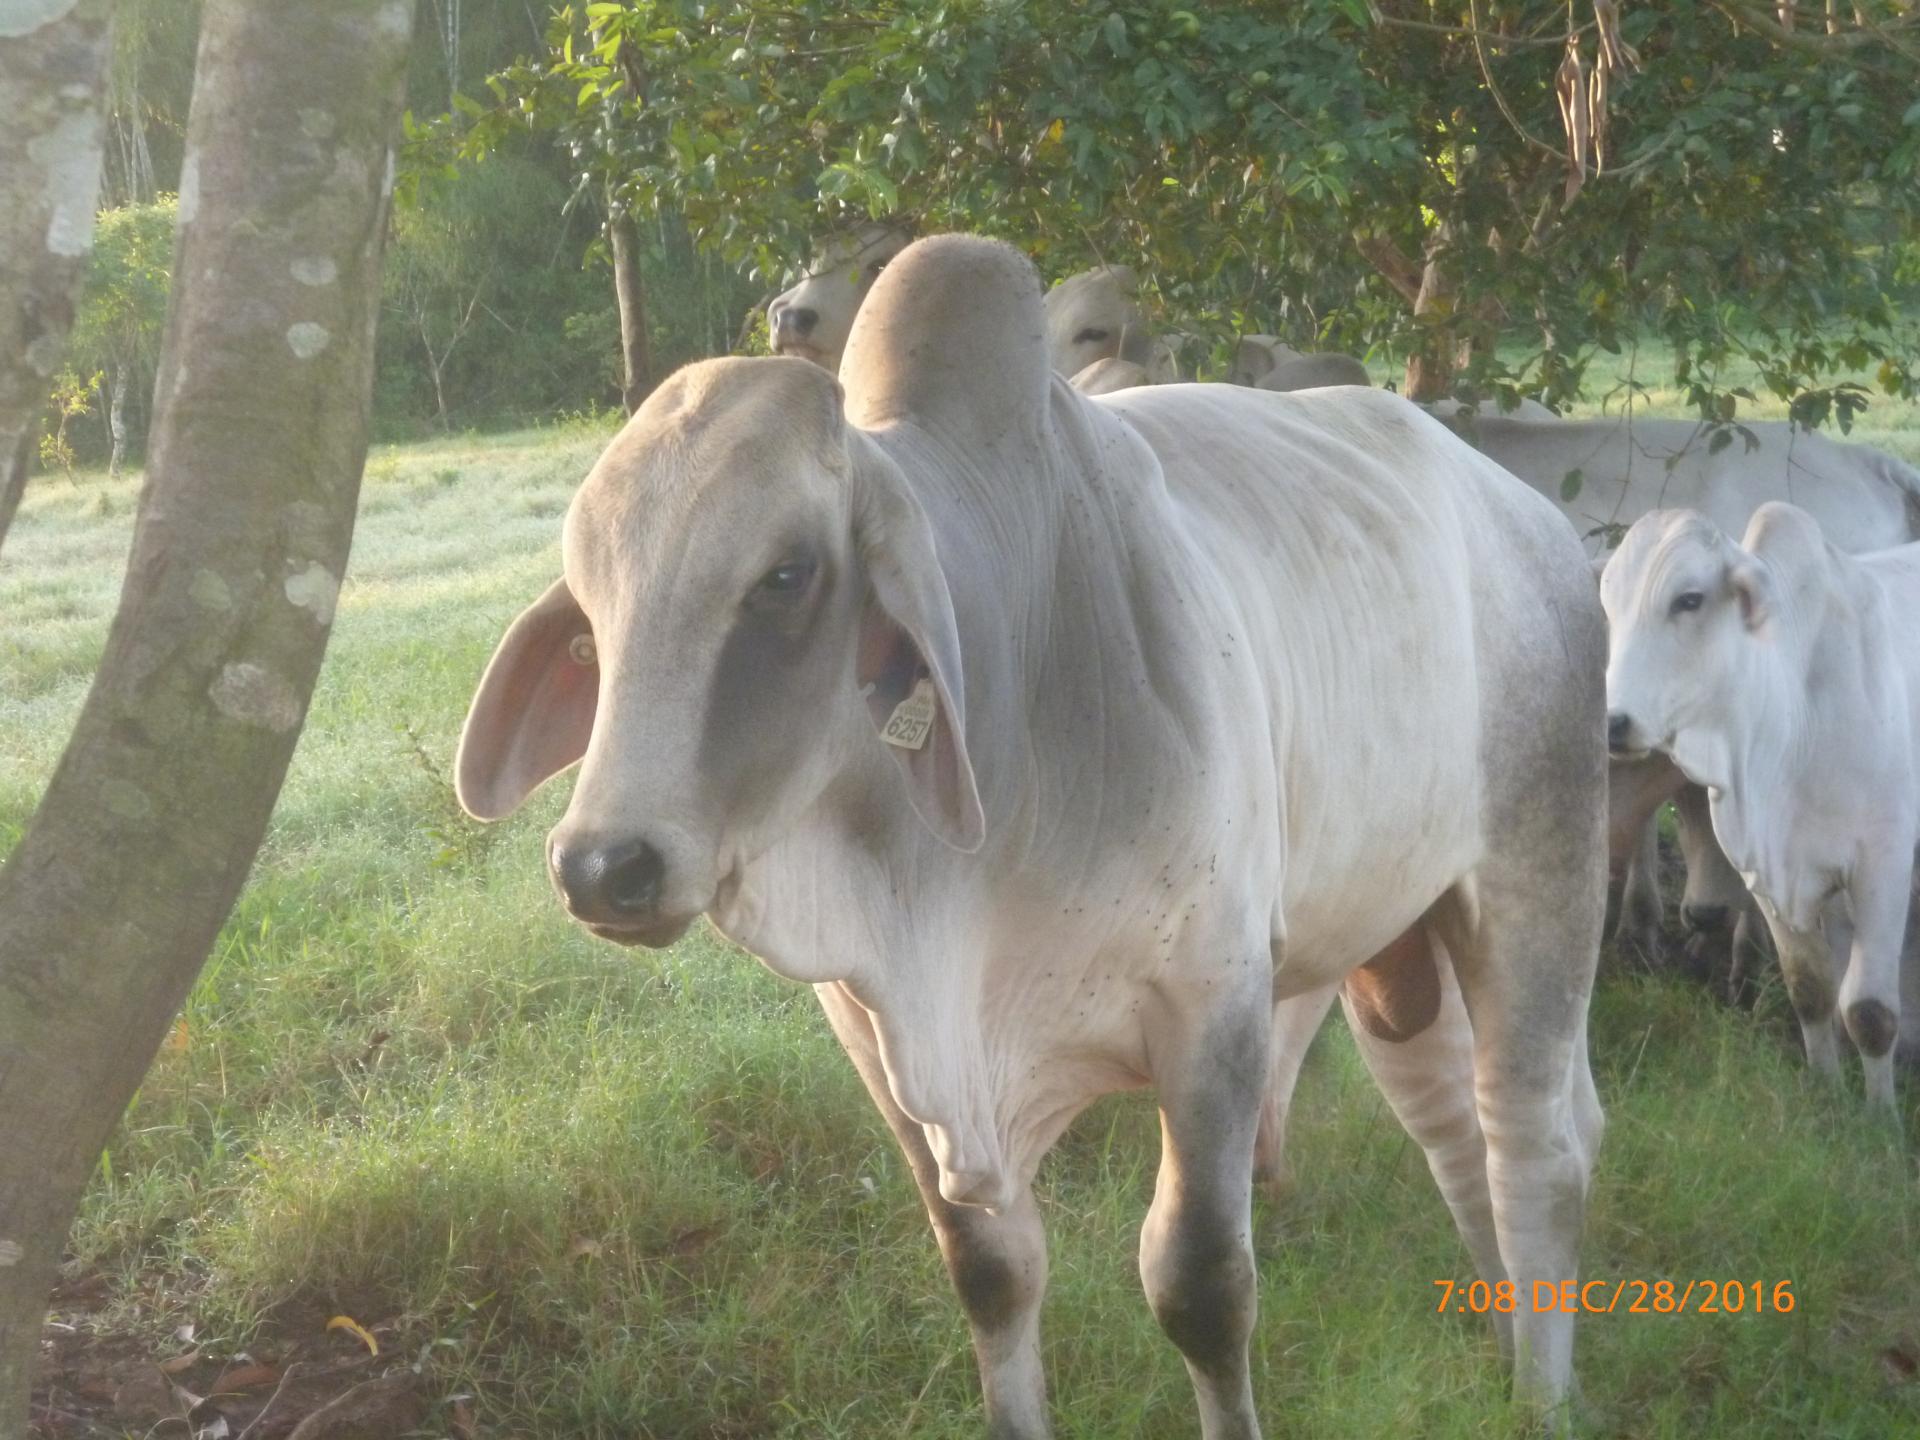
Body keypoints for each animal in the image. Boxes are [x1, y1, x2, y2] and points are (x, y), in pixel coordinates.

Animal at [1605, 503, 1920, 1113]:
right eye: (1611, 603)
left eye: (1689, 599)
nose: (1613, 721)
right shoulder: (1768, 873)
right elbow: (1811, 988)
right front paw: (1825, 1096)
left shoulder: (1884, 866)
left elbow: (1870, 1011)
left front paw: (1881, 1118)